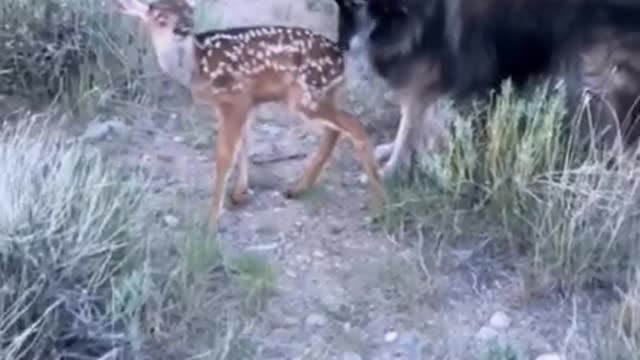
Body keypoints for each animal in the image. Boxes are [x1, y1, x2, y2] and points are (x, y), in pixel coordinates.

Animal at [336, 0, 640, 177]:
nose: (342, 45)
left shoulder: (425, 77)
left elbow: (410, 125)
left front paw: (391, 169)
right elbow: (411, 124)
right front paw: (392, 153)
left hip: (593, 81)